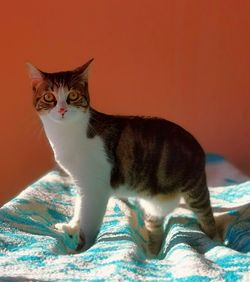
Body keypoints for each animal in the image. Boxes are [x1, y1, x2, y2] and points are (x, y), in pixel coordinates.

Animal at [25, 58, 217, 254]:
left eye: (73, 95)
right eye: (49, 97)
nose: (62, 109)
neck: (66, 134)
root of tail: (198, 146)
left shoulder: (96, 188)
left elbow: (88, 223)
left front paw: (81, 250)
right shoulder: (82, 184)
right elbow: (79, 208)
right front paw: (71, 227)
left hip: (195, 190)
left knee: (208, 218)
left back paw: (215, 241)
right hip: (153, 206)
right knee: (156, 229)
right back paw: (151, 253)